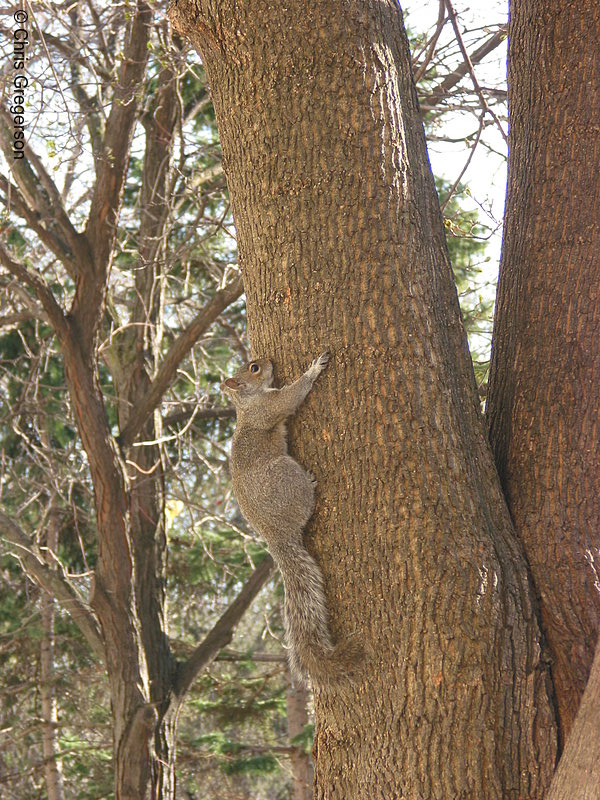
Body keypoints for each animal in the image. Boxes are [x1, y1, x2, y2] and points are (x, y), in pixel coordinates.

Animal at [221, 354, 358, 684]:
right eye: (254, 368)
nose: (269, 360)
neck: (247, 402)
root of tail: (275, 535)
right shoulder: (271, 407)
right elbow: (293, 396)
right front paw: (314, 369)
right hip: (286, 473)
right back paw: (310, 485)